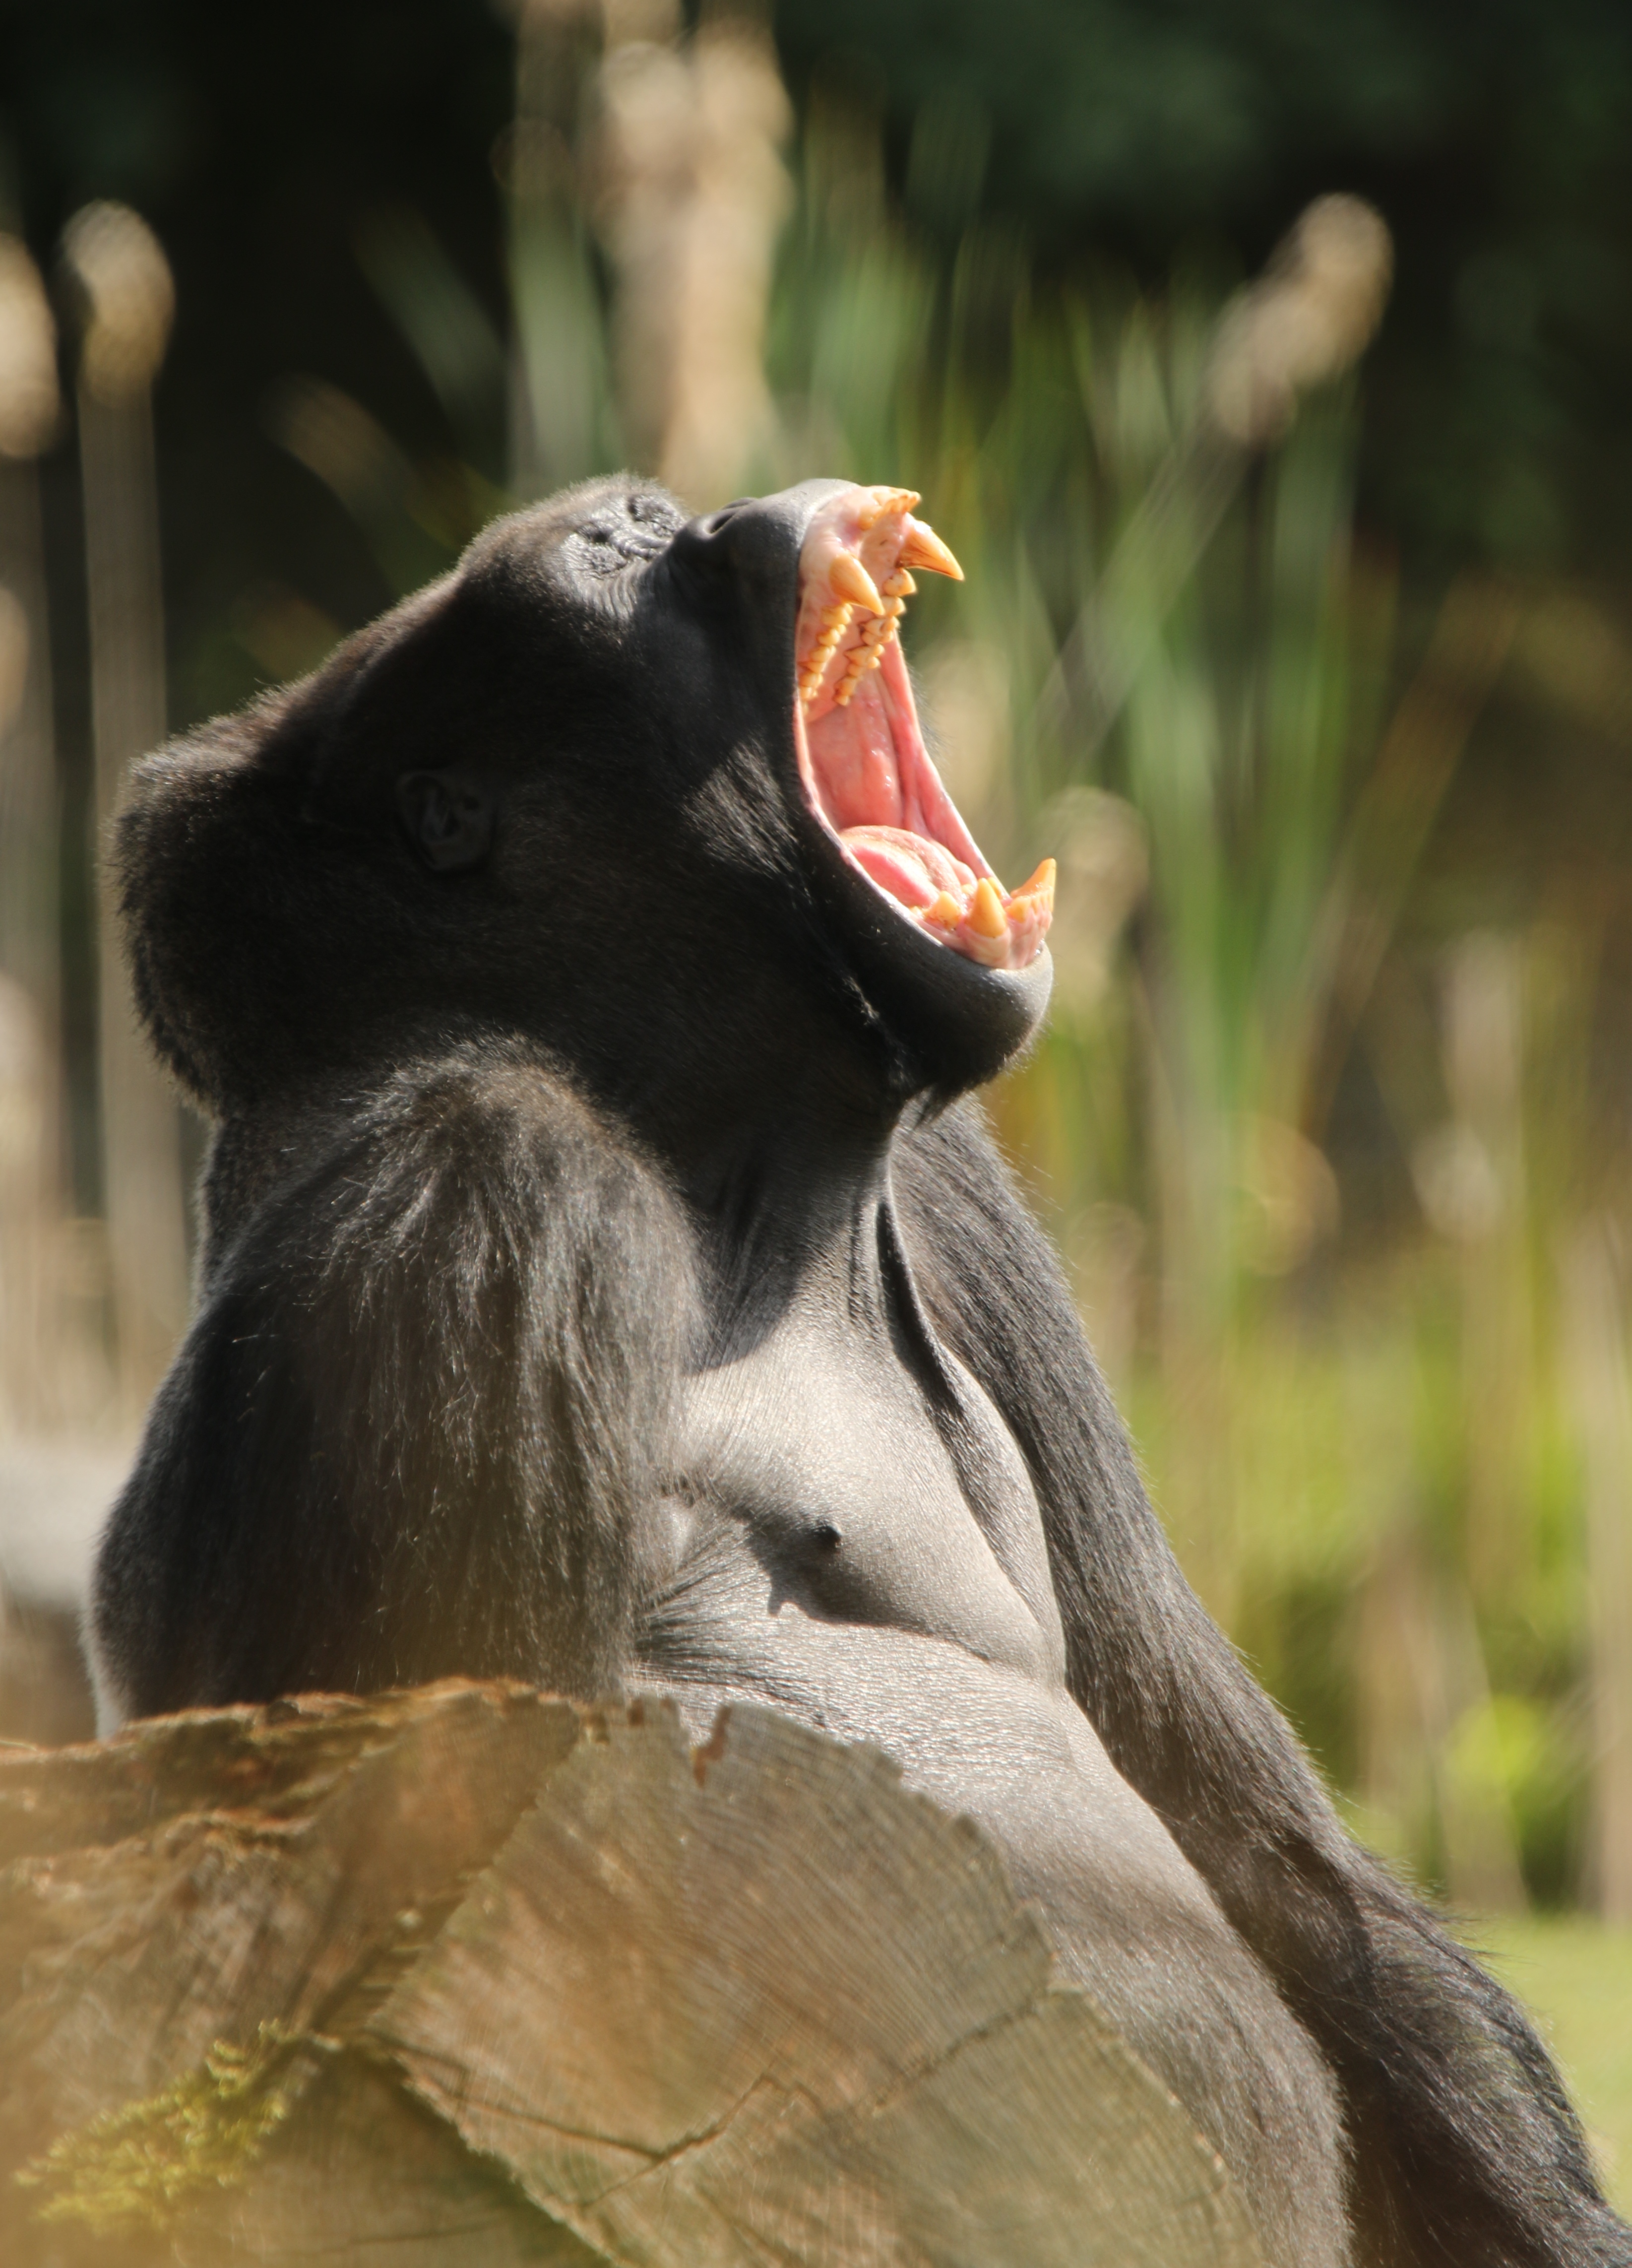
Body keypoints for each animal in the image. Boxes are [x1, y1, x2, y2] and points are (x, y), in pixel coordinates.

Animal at [91, 477, 1629, 2268]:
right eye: (616, 556)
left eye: (637, 516)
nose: (690, 513)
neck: (709, 1137)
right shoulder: (477, 1175)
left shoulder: (954, 1180)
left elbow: (1282, 1865)